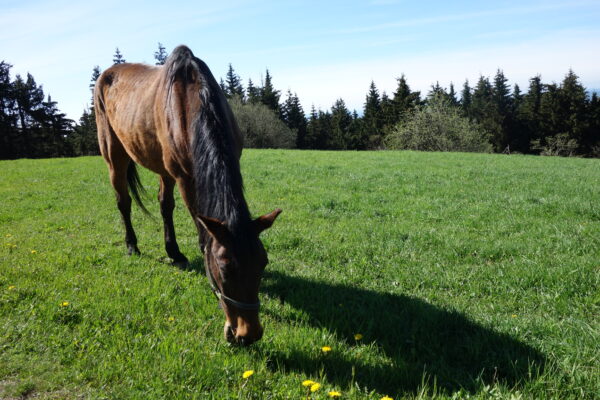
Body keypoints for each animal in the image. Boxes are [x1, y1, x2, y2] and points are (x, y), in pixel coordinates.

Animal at [94, 43, 282, 346]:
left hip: (161, 167)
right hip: (114, 156)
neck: (194, 103)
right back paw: (132, 245)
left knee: (164, 205)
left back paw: (174, 252)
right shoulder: (184, 178)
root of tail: (106, 74)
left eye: (262, 263)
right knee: (124, 202)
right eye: (224, 269)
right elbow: (201, 231)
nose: (248, 334)